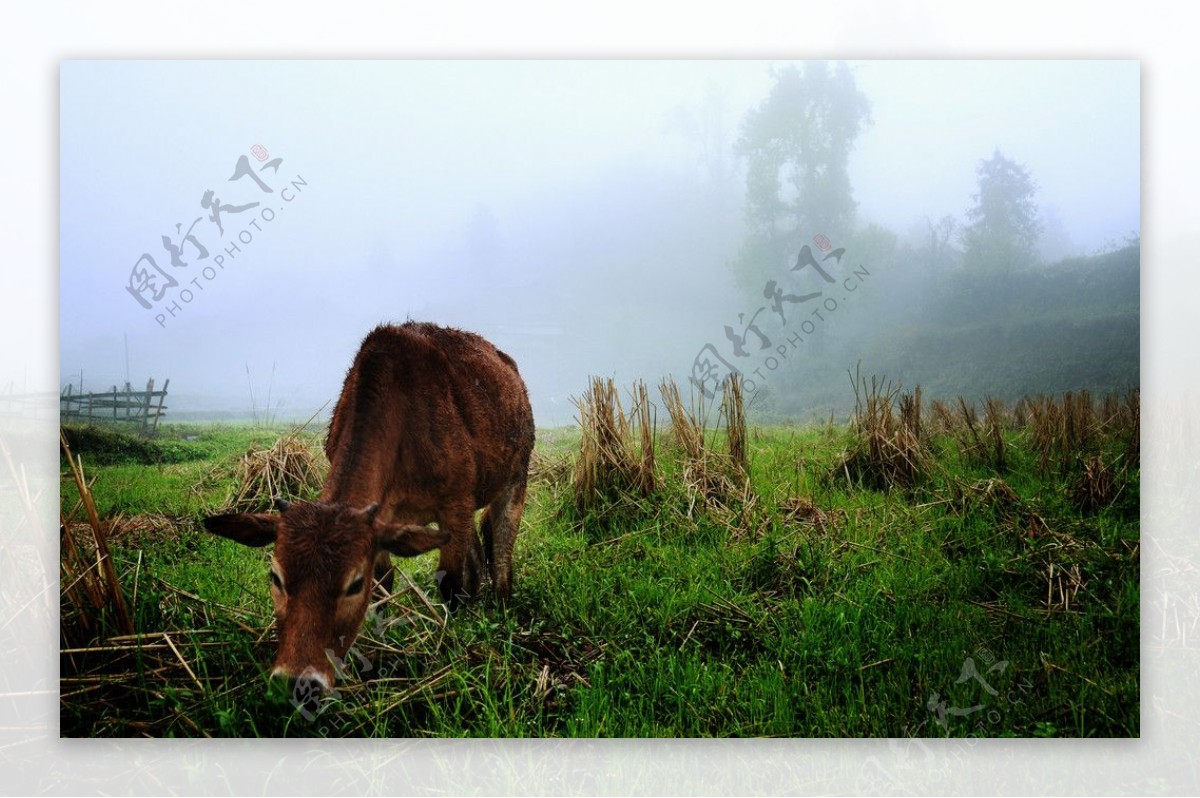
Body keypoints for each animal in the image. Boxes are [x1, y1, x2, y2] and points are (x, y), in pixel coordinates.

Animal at [202, 321, 535, 691]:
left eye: (353, 584)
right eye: (276, 576)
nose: (299, 680)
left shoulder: (455, 503)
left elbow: (449, 583)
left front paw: (450, 643)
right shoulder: (385, 519)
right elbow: (386, 582)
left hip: (516, 474)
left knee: (500, 548)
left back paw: (500, 607)